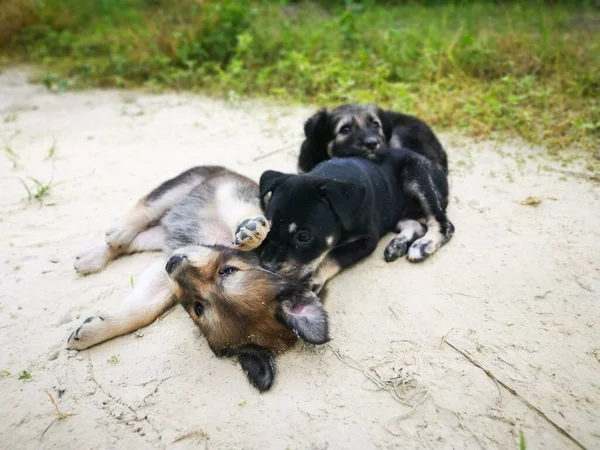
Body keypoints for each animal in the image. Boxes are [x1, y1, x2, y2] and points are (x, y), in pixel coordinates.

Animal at [68, 165, 330, 390]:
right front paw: (251, 230)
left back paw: (93, 257)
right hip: (183, 186)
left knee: (133, 241)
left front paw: (93, 331)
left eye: (198, 308)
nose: (173, 262)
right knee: (144, 210)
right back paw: (116, 234)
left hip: (156, 237)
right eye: (228, 270)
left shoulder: (167, 276)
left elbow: (143, 310)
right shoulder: (230, 193)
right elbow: (251, 218)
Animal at [258, 149, 454, 294]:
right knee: (416, 224)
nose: (267, 268)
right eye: (268, 228)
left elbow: (333, 255)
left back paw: (423, 245)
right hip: (394, 211)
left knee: (443, 224)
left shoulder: (367, 240)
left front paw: (313, 279)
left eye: (304, 237)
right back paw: (397, 244)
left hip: (417, 176)